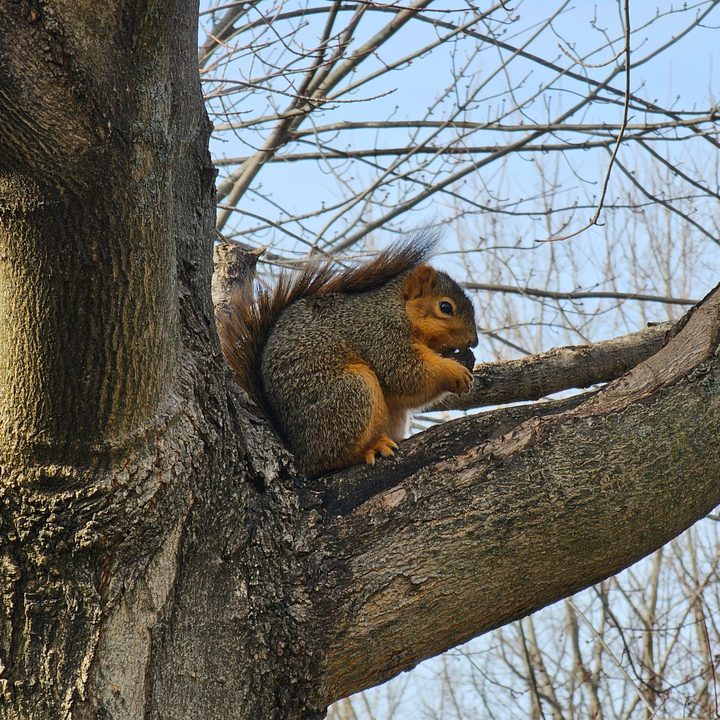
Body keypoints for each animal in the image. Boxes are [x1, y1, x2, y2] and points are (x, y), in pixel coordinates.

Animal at [218, 236, 478, 478]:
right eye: (445, 307)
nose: (473, 341)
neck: (398, 309)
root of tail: (299, 452)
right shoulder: (380, 334)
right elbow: (404, 372)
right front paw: (453, 371)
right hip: (350, 392)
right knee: (329, 460)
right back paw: (371, 449)